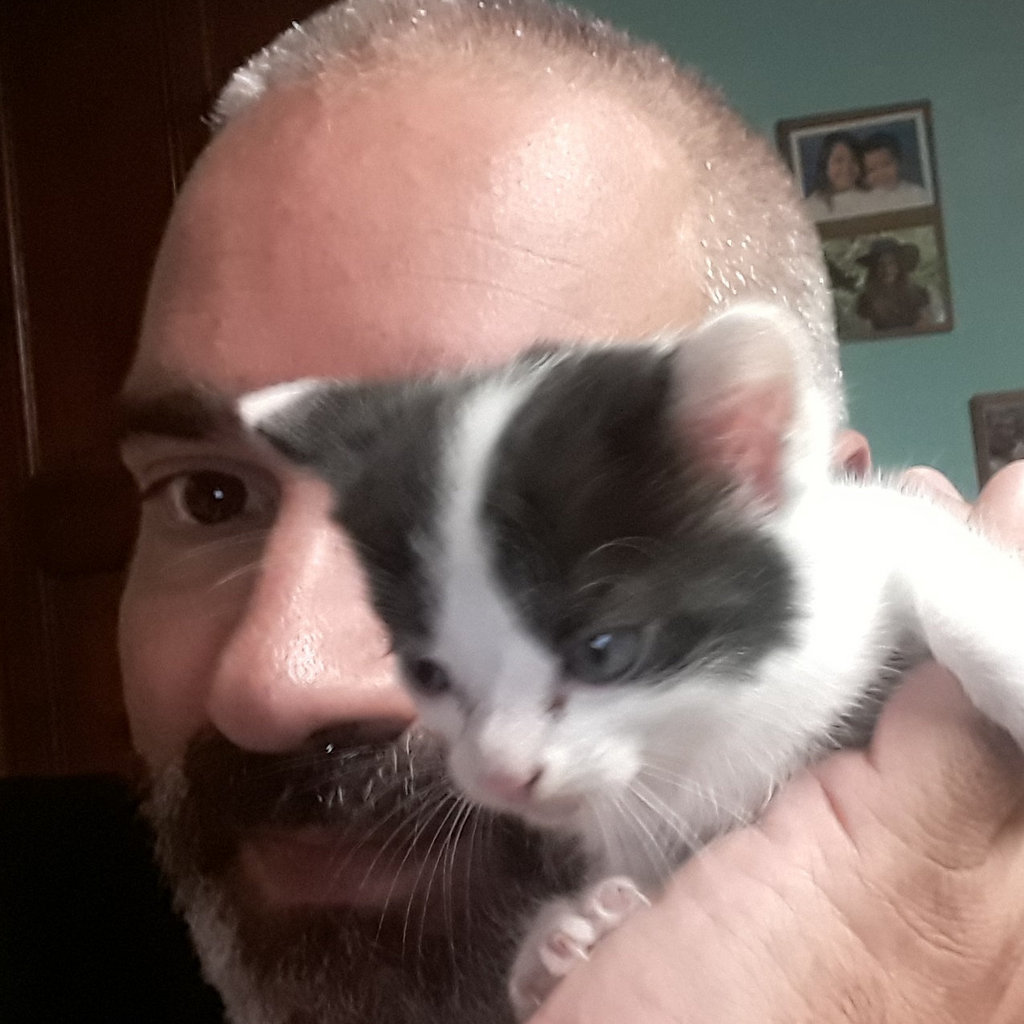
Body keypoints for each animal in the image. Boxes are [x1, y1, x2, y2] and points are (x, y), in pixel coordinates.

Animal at [237, 303, 1024, 1017]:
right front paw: (564, 938)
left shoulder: (872, 533)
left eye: (604, 652)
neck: (707, 732)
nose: (503, 776)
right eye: (427, 673)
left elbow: (934, 562)